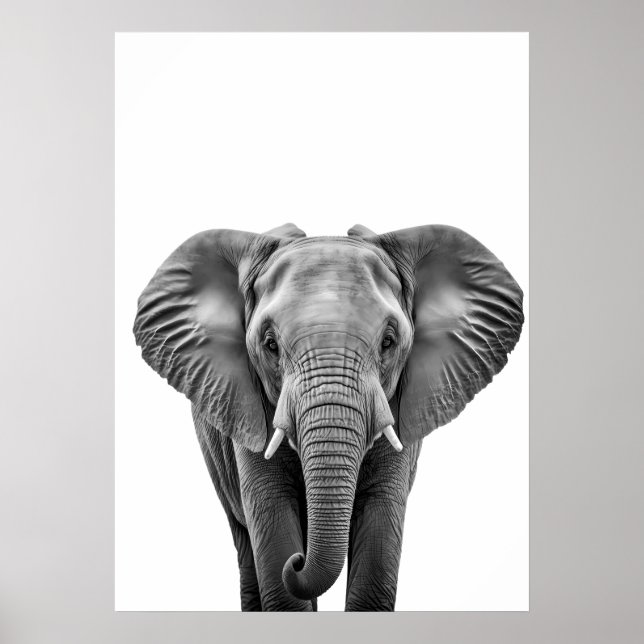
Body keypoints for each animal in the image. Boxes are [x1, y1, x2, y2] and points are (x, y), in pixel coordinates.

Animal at [133, 222, 524, 611]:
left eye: (389, 341)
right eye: (270, 344)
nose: (298, 561)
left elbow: (380, 523)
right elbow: (270, 513)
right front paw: (286, 561)